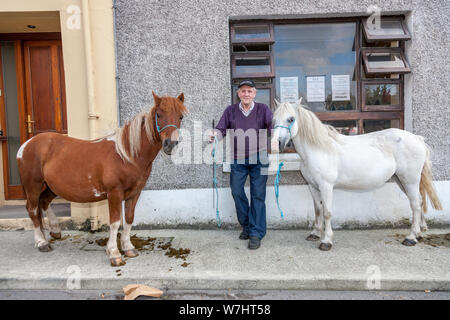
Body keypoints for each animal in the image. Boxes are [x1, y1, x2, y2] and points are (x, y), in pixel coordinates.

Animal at [17, 92, 186, 264]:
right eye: (159, 115)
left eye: (180, 116)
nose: (170, 144)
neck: (126, 155)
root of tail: (26, 145)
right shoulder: (114, 193)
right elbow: (115, 222)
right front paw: (114, 253)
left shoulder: (134, 193)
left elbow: (129, 219)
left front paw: (128, 248)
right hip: (33, 186)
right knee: (32, 209)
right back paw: (42, 242)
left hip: (51, 187)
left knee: (44, 202)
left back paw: (55, 231)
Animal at [272, 99, 442, 251]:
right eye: (274, 119)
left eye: (291, 119)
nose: (276, 143)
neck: (318, 149)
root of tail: (417, 139)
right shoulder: (313, 186)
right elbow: (318, 209)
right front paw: (315, 233)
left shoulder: (326, 186)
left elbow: (327, 212)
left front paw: (326, 241)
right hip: (401, 180)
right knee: (418, 202)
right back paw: (418, 234)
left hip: (410, 180)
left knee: (415, 204)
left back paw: (411, 238)